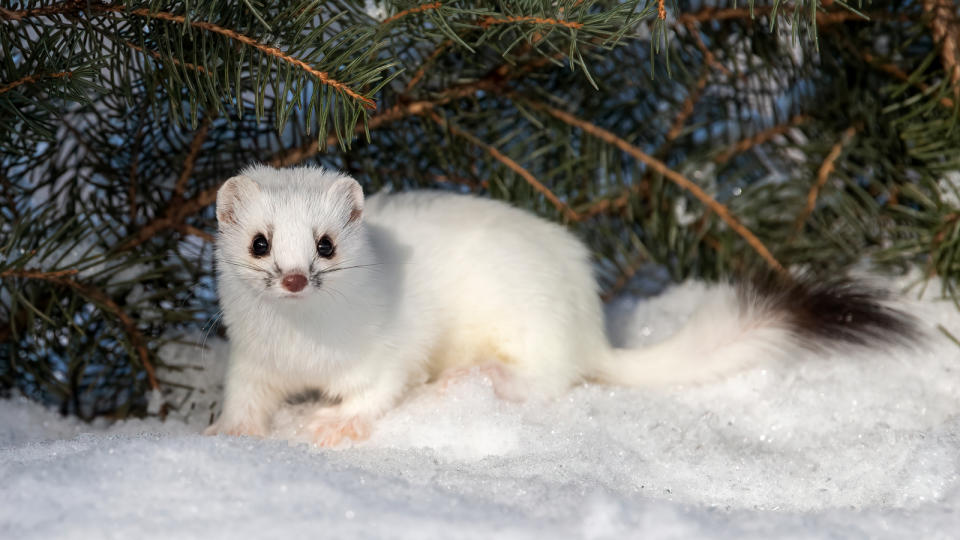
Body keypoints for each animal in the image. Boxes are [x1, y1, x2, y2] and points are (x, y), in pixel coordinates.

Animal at [208, 165, 916, 448]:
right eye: (260, 242)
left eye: (325, 244)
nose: (293, 278)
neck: (304, 346)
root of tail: (590, 323)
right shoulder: (251, 356)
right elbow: (243, 392)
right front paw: (229, 432)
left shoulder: (390, 345)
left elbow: (380, 389)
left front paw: (331, 423)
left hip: (530, 325)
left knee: (543, 381)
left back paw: (468, 379)